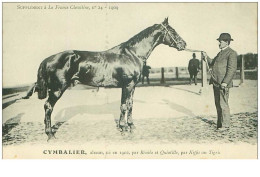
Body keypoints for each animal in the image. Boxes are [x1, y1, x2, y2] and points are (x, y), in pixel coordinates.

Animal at [24, 17, 186, 140]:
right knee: (48, 107)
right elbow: (124, 106)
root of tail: (47, 59)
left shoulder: (132, 86)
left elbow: (129, 105)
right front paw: (124, 129)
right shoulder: (127, 85)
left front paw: (130, 126)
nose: (184, 44)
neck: (132, 54)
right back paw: (50, 135)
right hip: (57, 89)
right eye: (172, 31)